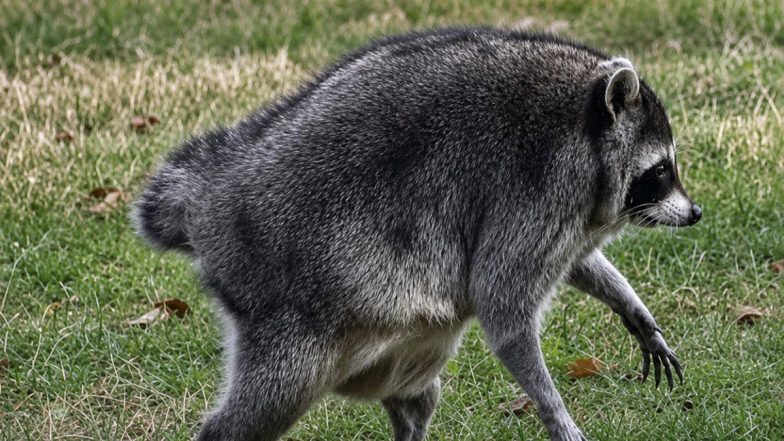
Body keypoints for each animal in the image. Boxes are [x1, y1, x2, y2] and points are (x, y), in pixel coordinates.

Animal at [132, 28, 701, 441]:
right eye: (660, 171)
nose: (695, 213)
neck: (583, 124)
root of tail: (212, 194)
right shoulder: (531, 191)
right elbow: (500, 302)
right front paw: (552, 408)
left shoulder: (566, 217)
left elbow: (578, 264)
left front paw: (630, 305)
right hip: (285, 296)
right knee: (269, 399)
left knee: (416, 393)